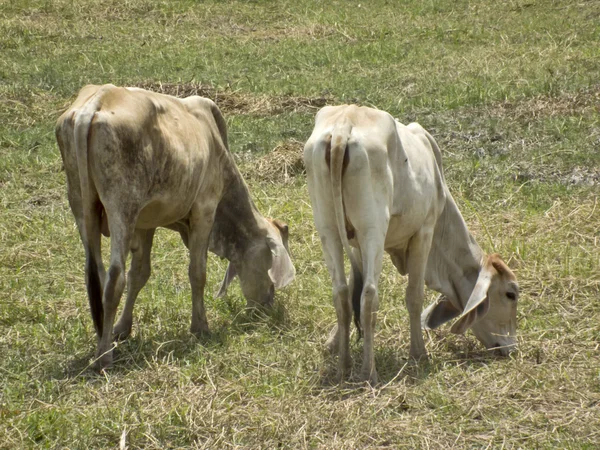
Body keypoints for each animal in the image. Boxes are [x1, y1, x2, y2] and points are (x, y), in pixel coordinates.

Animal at [56, 84, 296, 370]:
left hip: (80, 203)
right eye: (270, 267)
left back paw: (103, 335)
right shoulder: (205, 210)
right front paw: (201, 327)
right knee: (115, 278)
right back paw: (104, 356)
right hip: (122, 206)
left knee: (97, 276)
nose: (267, 305)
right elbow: (197, 272)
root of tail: (100, 100)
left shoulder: (145, 225)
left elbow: (140, 274)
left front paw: (122, 329)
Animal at [304, 105, 520, 384]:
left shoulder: (354, 245)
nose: (511, 348)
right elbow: (414, 295)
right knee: (369, 295)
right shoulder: (424, 231)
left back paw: (343, 368)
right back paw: (368, 372)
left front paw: (332, 344)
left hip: (328, 228)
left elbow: (351, 286)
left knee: (340, 293)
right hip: (372, 229)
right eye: (510, 293)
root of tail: (344, 125)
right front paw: (419, 353)